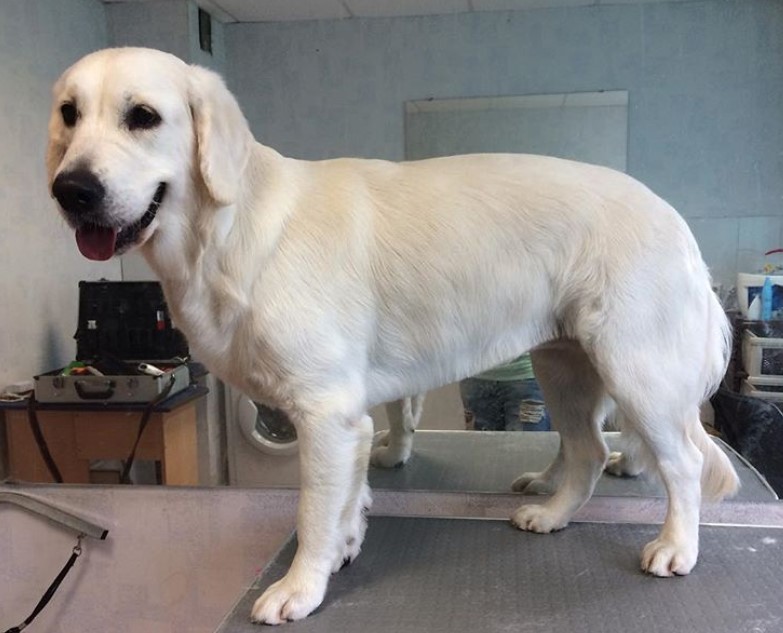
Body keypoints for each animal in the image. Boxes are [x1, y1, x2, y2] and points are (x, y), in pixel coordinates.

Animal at [47, 48, 740, 624]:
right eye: (68, 114)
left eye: (143, 116)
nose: (70, 190)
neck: (228, 227)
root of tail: (675, 221)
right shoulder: (347, 417)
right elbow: (350, 497)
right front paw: (347, 545)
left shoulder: (325, 414)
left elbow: (312, 511)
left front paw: (301, 587)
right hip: (564, 366)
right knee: (588, 451)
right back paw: (551, 511)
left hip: (636, 371)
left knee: (680, 462)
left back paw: (675, 547)